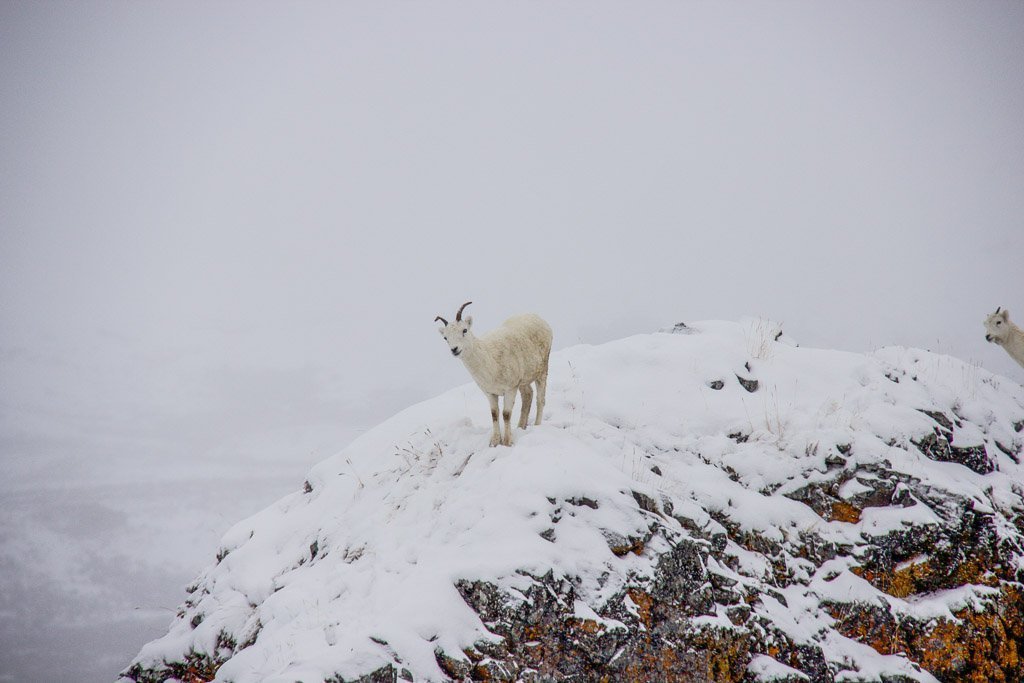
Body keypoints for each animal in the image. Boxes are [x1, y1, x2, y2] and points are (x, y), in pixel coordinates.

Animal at [438, 301, 557, 446]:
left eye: (464, 330)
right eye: (445, 338)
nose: (454, 349)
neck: (490, 362)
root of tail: (539, 319)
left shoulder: (510, 389)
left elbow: (506, 414)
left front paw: (507, 442)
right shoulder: (490, 393)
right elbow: (494, 414)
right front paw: (494, 442)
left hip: (542, 371)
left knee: (540, 400)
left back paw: (537, 425)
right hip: (523, 381)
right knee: (528, 396)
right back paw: (520, 427)